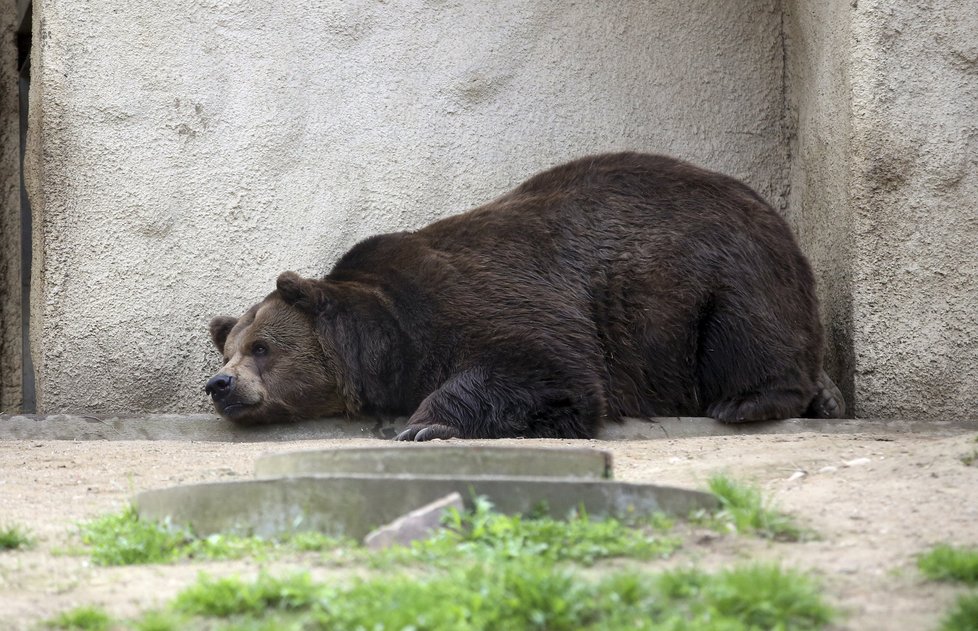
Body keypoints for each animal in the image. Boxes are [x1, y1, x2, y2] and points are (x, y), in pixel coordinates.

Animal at [208, 152, 848, 440]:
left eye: (262, 347)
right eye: (230, 348)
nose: (220, 384)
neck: (392, 343)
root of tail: (766, 206)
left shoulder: (479, 302)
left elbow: (546, 370)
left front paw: (425, 425)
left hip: (714, 274)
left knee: (748, 332)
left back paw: (748, 402)